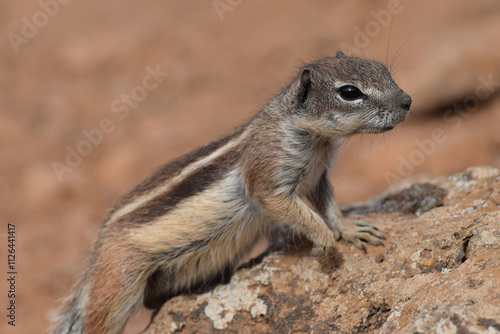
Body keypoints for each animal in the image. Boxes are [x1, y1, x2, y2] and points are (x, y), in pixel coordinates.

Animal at [53, 51, 410, 332]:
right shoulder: (269, 178)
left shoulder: (318, 177)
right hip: (118, 286)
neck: (311, 136)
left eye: (382, 68)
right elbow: (298, 212)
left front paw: (351, 230)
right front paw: (324, 242)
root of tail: (96, 252)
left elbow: (330, 206)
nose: (407, 101)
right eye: (349, 92)